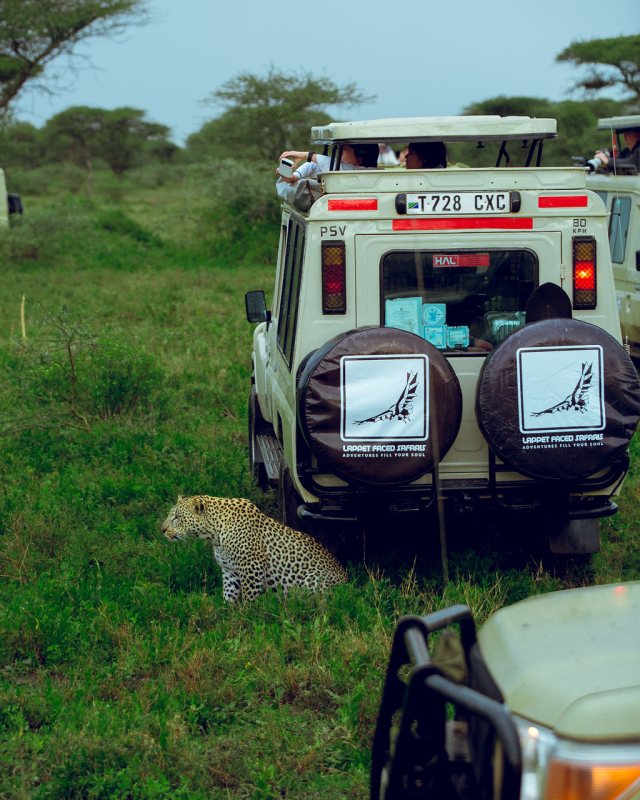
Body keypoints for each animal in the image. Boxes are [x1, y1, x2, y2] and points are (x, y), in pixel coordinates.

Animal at [161, 495, 347, 602]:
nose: (162, 529)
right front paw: (228, 616)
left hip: (312, 581)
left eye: (177, 517)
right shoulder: (229, 571)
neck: (214, 535)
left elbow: (249, 595)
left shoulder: (252, 566)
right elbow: (229, 595)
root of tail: (348, 583)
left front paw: (248, 616)